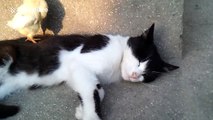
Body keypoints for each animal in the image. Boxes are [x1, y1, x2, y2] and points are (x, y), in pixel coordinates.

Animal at [0, 23, 178, 120]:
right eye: (140, 59)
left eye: (146, 75)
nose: (135, 75)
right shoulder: (79, 65)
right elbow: (93, 91)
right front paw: (91, 115)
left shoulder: (78, 75)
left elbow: (97, 90)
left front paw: (82, 110)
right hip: (7, 54)